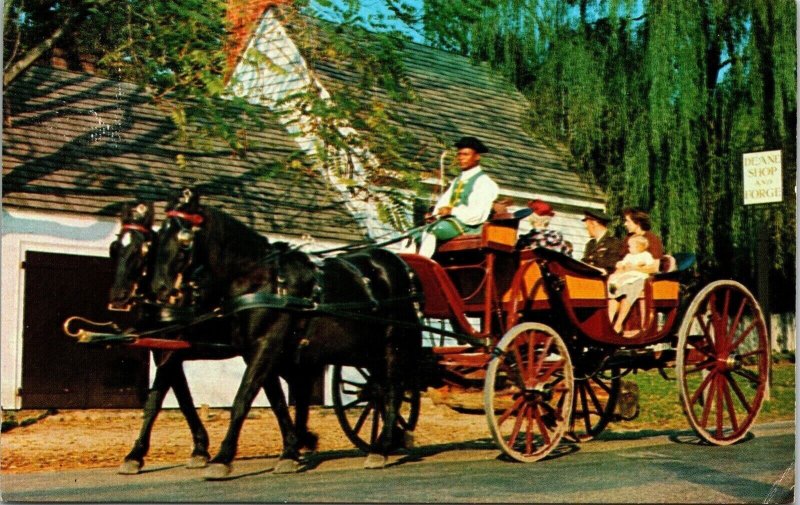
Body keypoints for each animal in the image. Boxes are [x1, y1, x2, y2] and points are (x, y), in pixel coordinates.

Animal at [107, 200, 318, 472]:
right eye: (115, 248)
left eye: (143, 249)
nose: (118, 297)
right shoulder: (165, 352)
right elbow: (179, 399)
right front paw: (197, 449)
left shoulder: (171, 353)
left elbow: (159, 401)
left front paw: (137, 455)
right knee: (289, 387)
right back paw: (300, 441)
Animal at [152, 188, 424, 476]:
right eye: (159, 236)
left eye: (183, 239)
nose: (160, 289)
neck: (261, 281)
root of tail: (398, 265)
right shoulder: (257, 351)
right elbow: (278, 402)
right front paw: (292, 450)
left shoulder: (267, 345)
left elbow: (243, 399)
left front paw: (222, 458)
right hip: (368, 351)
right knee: (380, 390)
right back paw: (389, 439)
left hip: (393, 343)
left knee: (393, 390)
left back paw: (381, 448)